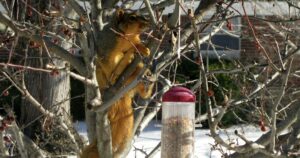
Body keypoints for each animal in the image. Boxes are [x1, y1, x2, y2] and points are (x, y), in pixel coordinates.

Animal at [80, 9, 152, 157]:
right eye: (132, 18)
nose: (148, 22)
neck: (127, 37)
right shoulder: (107, 49)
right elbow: (112, 61)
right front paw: (131, 53)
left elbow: (136, 46)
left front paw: (143, 49)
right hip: (100, 75)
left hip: (135, 79)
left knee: (141, 86)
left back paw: (147, 81)